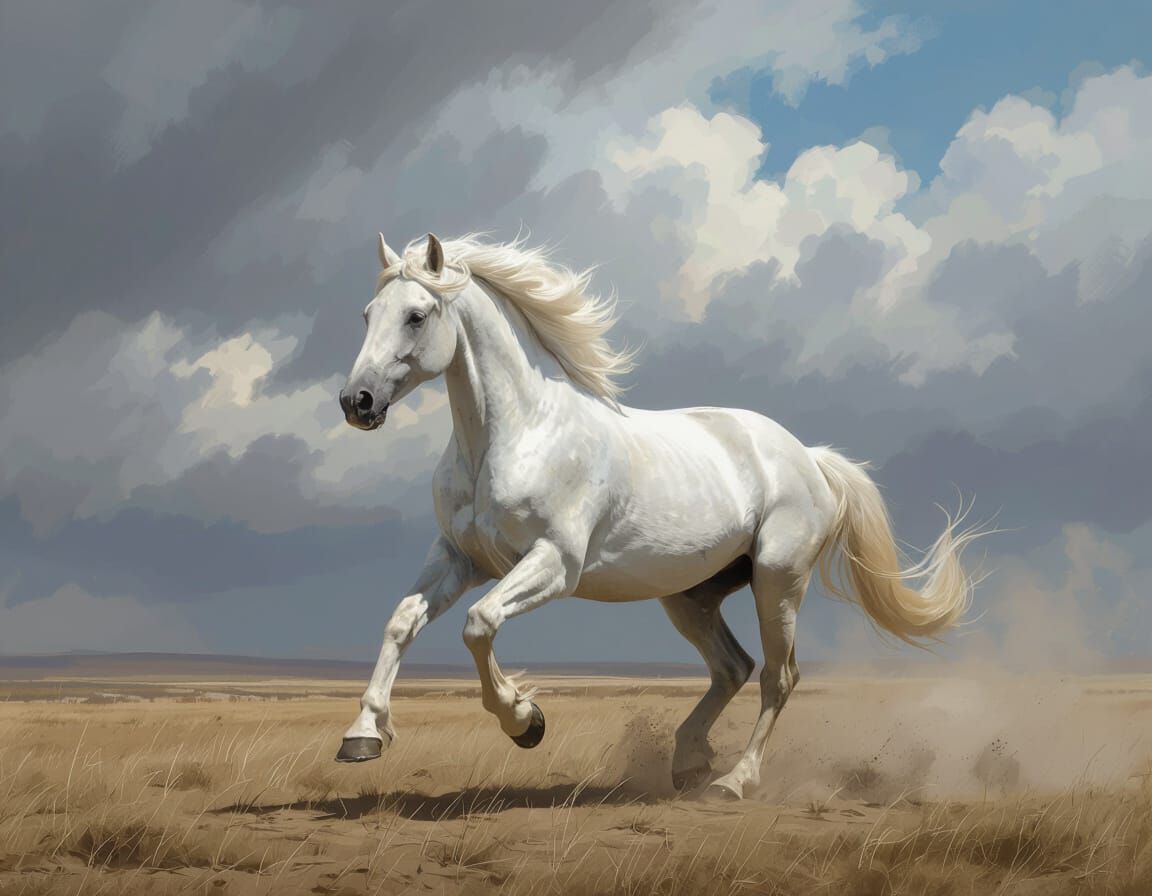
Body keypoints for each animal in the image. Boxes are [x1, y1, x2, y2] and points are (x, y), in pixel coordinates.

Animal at [334, 232, 981, 799]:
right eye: (366, 314)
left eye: (417, 315)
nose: (356, 402)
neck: (514, 434)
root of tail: (809, 457)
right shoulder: (460, 558)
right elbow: (401, 622)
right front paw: (363, 736)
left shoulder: (554, 564)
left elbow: (479, 623)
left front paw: (525, 720)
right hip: (690, 595)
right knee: (733, 667)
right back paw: (689, 761)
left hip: (778, 580)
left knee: (778, 676)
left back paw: (733, 782)